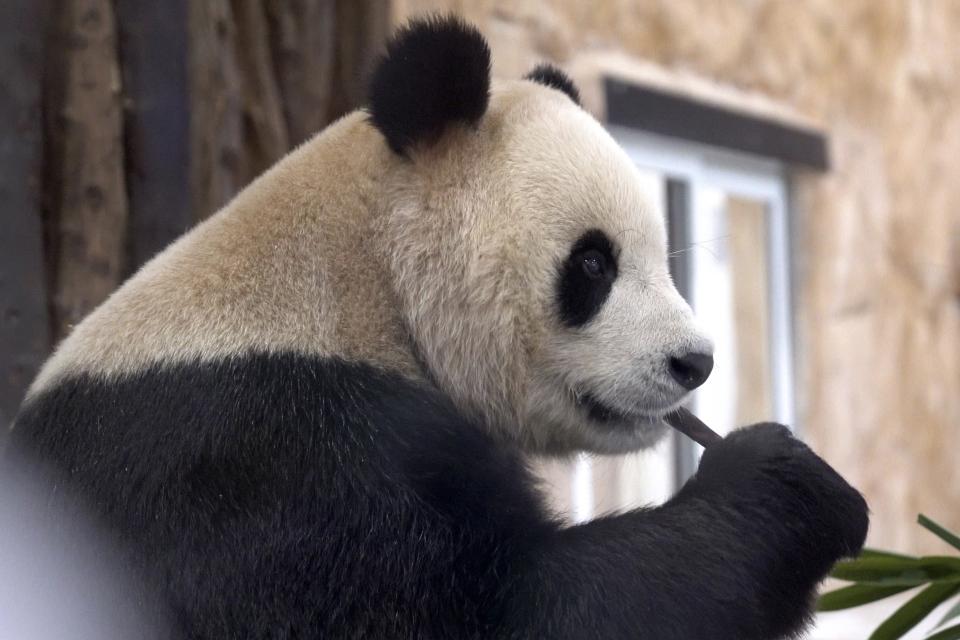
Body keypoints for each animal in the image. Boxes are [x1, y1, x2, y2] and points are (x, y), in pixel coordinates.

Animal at [7, 15, 868, 640]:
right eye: (593, 264)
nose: (694, 364)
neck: (358, 280)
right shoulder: (258, 461)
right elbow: (505, 613)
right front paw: (791, 484)